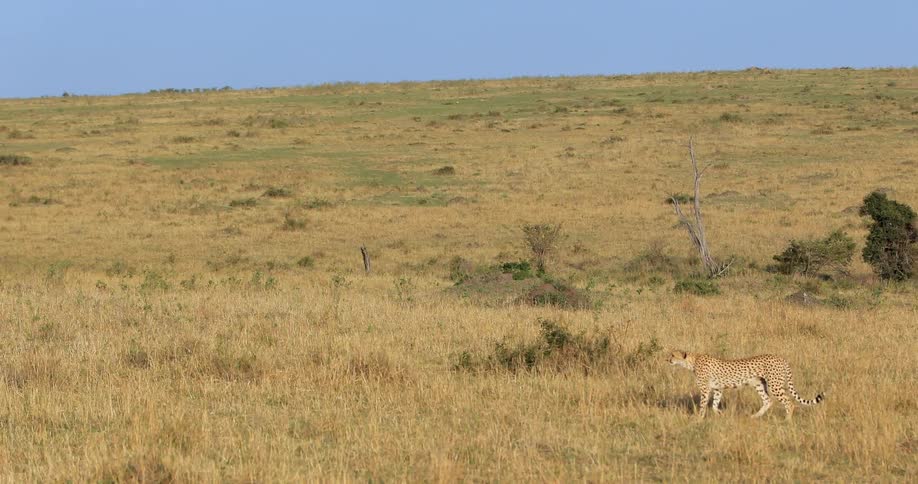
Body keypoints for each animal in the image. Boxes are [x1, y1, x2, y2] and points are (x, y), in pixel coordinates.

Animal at [668, 350, 824, 420]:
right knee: (768, 401)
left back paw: (787, 420)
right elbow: (714, 405)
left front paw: (699, 419)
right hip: (759, 384)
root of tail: (781, 358)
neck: (693, 361)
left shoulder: (706, 389)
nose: (667, 360)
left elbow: (703, 405)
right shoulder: (718, 389)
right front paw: (721, 414)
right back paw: (754, 416)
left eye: (673, 355)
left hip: (775, 385)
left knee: (789, 402)